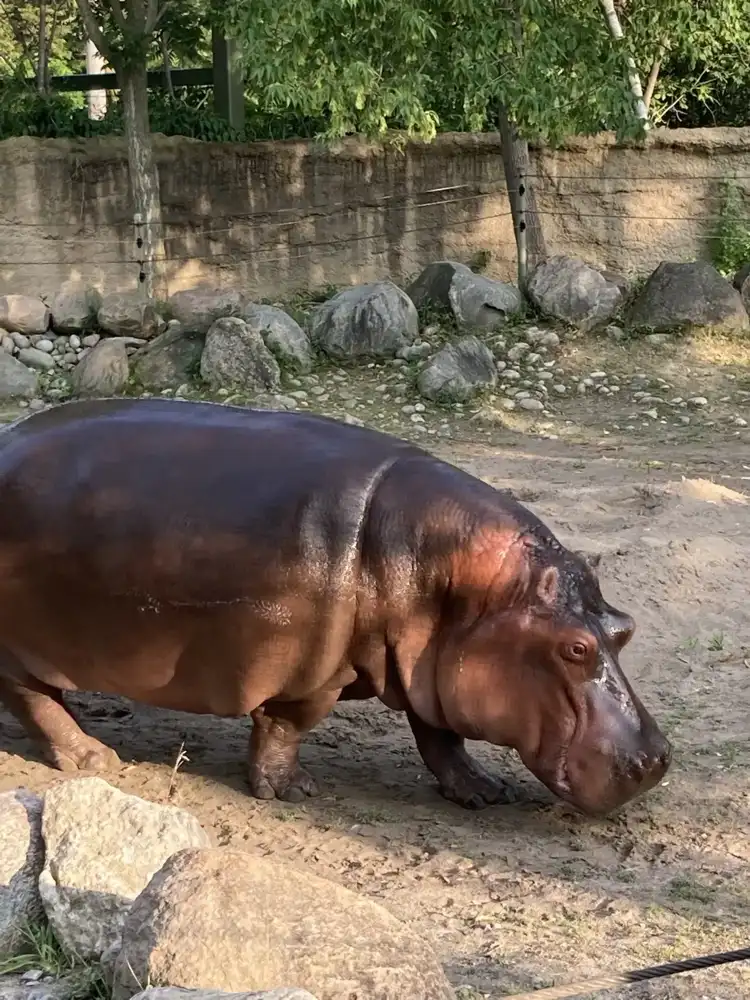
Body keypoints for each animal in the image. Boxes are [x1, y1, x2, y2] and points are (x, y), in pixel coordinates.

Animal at [0, 398, 671, 815]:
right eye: (574, 648)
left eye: (625, 626)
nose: (657, 760)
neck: (443, 579)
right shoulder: (312, 673)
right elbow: (286, 725)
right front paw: (292, 792)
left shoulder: (428, 662)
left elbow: (440, 733)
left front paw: (483, 790)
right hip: (21, 648)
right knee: (34, 698)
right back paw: (95, 758)